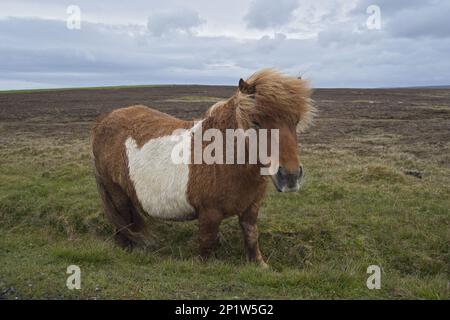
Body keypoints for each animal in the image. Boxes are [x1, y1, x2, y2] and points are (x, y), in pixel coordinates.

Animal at [92, 70, 312, 268]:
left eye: (295, 122)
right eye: (255, 122)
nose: (290, 177)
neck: (225, 158)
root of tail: (104, 120)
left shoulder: (251, 208)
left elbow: (251, 235)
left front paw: (259, 264)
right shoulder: (209, 214)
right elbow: (207, 242)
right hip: (116, 192)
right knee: (122, 220)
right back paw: (125, 247)